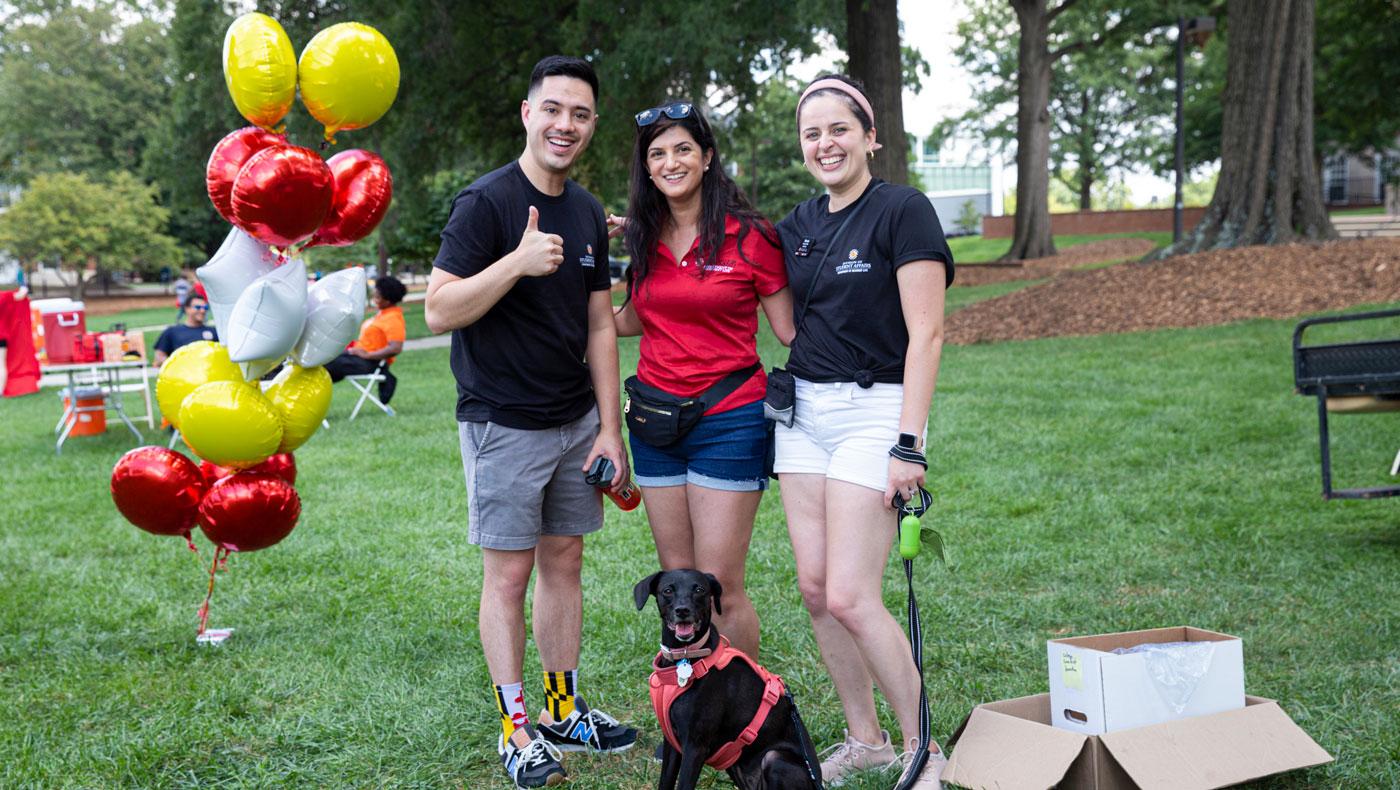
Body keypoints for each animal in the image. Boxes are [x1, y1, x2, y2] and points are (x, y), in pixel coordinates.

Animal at [635, 571, 817, 790]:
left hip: (775, 758)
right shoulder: (672, 744)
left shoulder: (695, 746)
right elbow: (665, 782)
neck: (685, 657)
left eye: (699, 589)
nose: (683, 610)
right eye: (668, 590)